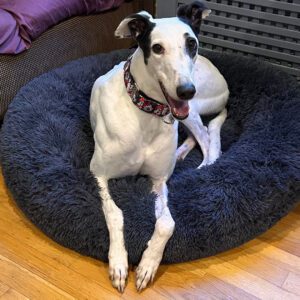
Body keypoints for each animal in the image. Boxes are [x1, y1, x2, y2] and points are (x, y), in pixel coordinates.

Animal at [90, 1, 229, 292]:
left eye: (191, 43)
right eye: (157, 48)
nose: (186, 90)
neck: (145, 111)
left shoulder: (158, 182)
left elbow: (167, 223)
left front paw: (147, 266)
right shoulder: (99, 174)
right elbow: (115, 213)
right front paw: (118, 263)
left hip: (194, 109)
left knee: (208, 139)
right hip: (188, 113)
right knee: (197, 136)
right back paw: (181, 153)